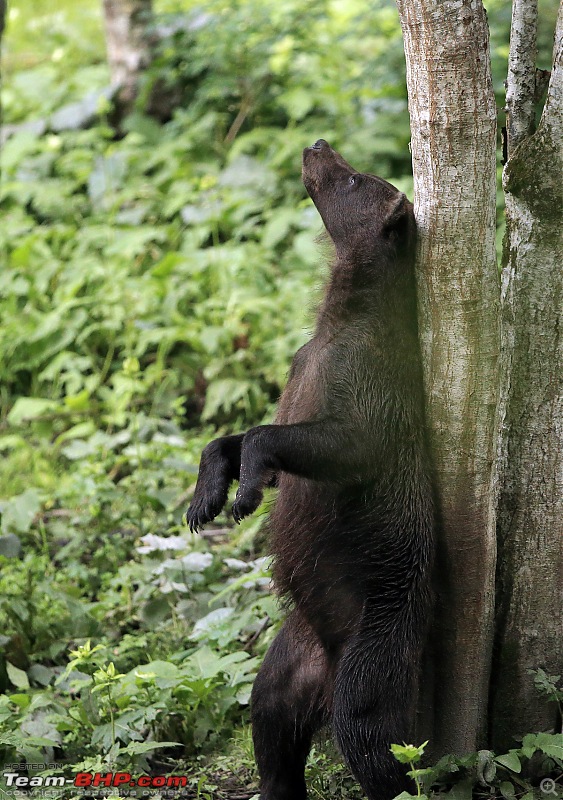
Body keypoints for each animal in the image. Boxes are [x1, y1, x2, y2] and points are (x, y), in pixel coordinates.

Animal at [187, 139, 434, 800]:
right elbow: (242, 439)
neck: (335, 326)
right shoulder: (298, 371)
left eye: (352, 179)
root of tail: (325, 672)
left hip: (376, 648)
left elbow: (314, 443)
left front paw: (244, 493)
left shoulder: (369, 399)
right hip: (292, 651)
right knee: (270, 716)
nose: (318, 145)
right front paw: (208, 496)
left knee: (378, 743)